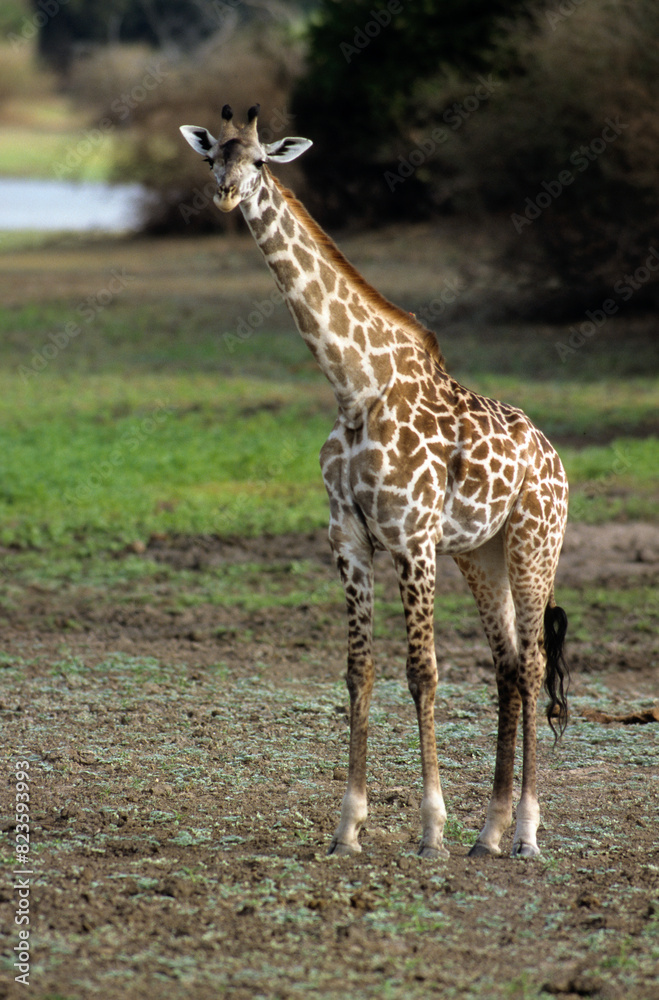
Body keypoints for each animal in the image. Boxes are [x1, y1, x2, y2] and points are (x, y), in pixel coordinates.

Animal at [180, 105, 570, 860]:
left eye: (261, 161)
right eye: (213, 156)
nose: (226, 195)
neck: (355, 387)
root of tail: (554, 457)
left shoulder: (411, 540)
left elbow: (422, 673)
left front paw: (430, 830)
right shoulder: (351, 540)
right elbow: (357, 671)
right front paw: (347, 828)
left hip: (534, 543)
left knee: (535, 664)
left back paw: (527, 833)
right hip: (479, 554)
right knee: (508, 665)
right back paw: (489, 833)